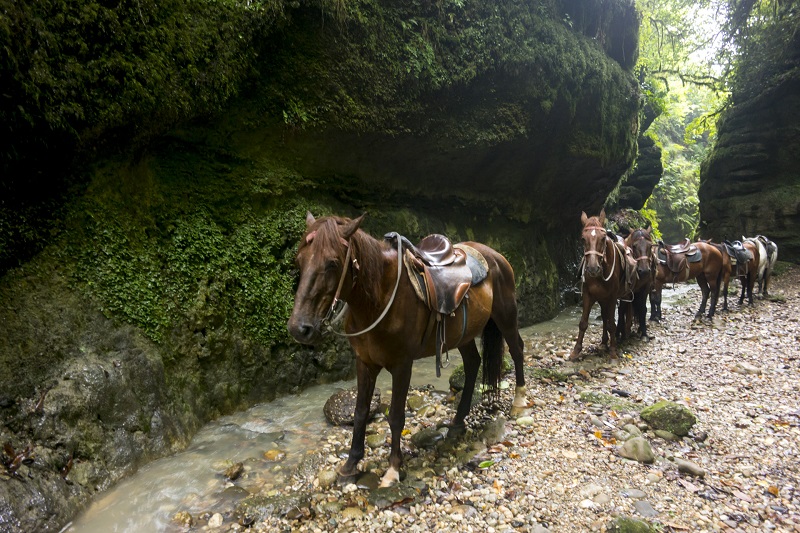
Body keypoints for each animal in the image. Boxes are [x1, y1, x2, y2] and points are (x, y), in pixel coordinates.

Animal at [284, 212, 528, 486]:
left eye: (332, 263)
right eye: (299, 261)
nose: (299, 328)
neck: (379, 297)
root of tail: (495, 255)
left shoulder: (402, 365)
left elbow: (396, 416)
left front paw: (392, 469)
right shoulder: (364, 362)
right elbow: (360, 412)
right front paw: (351, 464)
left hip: (506, 315)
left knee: (517, 349)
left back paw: (519, 402)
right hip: (463, 335)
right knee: (473, 363)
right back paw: (457, 422)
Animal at [568, 210, 636, 360]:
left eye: (603, 238)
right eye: (583, 238)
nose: (593, 268)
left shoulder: (612, 297)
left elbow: (612, 324)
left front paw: (613, 351)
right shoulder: (588, 295)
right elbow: (583, 323)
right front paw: (576, 351)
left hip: (626, 294)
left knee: (627, 310)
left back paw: (626, 333)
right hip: (602, 298)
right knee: (604, 317)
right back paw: (604, 342)